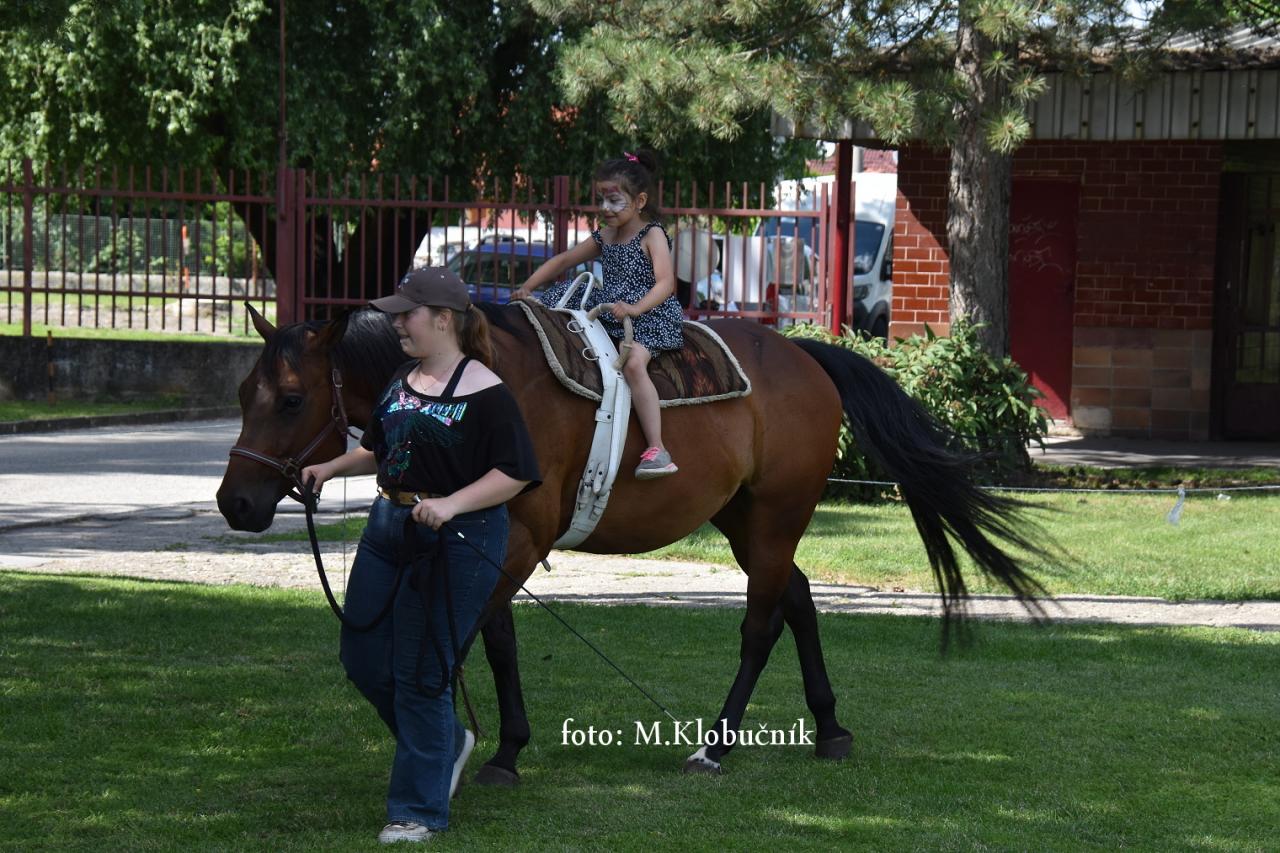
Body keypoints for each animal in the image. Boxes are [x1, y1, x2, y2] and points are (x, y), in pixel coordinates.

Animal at [216, 301, 1046, 780]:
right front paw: (504, 748)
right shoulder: (485, 536)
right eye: (242, 392)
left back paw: (718, 742)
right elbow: (496, 639)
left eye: (290, 398)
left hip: (776, 515)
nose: (235, 500)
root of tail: (807, 354)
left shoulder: (518, 538)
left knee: (762, 621)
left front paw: (472, 745)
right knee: (801, 599)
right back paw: (830, 725)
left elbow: (472, 632)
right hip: (744, 517)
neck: (489, 382)